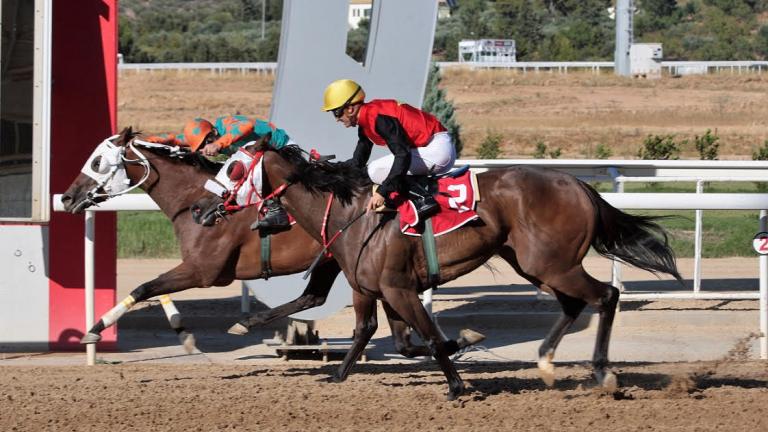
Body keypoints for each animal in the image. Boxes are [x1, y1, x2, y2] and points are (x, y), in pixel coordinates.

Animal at [61, 128, 480, 358]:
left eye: (98, 162)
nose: (67, 198)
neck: (194, 200)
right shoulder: (195, 268)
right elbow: (152, 288)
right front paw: (183, 332)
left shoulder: (203, 271)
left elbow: (145, 286)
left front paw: (95, 329)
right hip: (334, 259)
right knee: (314, 297)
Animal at [195, 140, 680, 400]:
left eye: (233, 167)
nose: (201, 207)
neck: (353, 214)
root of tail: (580, 184)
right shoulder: (376, 289)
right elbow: (383, 336)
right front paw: (337, 374)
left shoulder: (398, 288)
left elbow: (425, 337)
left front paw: (457, 383)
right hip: (535, 264)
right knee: (575, 304)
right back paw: (544, 363)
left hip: (551, 262)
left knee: (605, 296)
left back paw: (603, 373)